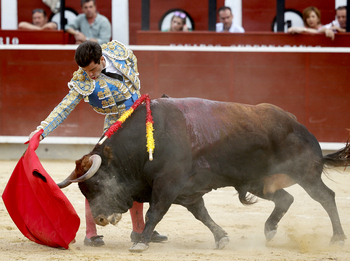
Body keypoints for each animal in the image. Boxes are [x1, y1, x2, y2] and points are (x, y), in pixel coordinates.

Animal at [56, 96, 348, 251]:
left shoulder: (168, 184)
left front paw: (141, 242)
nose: (101, 218)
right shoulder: (187, 192)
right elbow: (202, 214)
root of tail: (296, 123)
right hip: (260, 183)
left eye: (96, 186)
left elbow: (155, 212)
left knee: (326, 197)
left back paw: (337, 237)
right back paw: (269, 230)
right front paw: (222, 237)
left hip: (306, 174)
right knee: (286, 199)